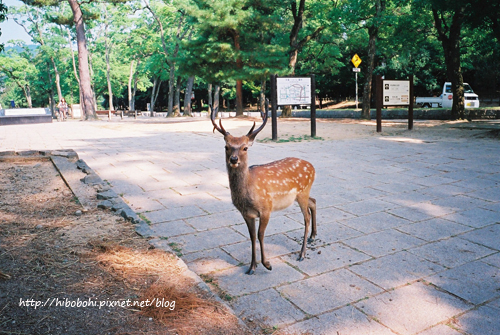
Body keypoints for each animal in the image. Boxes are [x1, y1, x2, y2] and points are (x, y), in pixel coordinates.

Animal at [211, 102, 316, 276]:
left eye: (245, 148)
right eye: (226, 147)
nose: (234, 159)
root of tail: (312, 166)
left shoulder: (266, 208)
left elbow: (260, 235)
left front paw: (267, 264)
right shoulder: (246, 213)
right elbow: (252, 236)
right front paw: (251, 267)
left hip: (303, 191)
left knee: (306, 217)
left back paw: (302, 254)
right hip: (302, 194)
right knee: (314, 201)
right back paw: (313, 236)